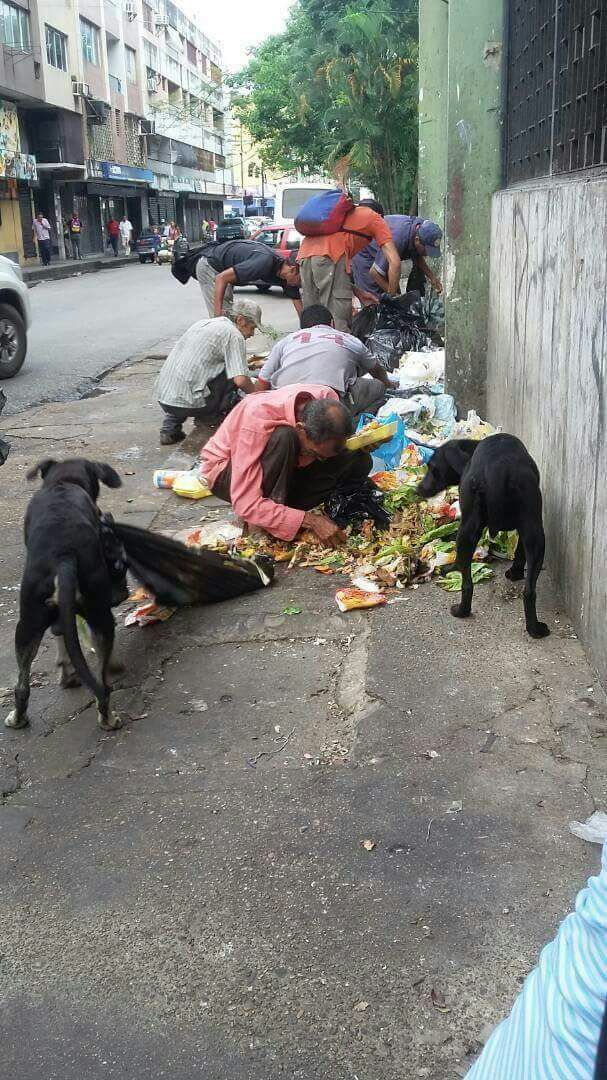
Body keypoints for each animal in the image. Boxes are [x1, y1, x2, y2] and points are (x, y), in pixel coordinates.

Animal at [5, 455, 124, 734]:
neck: (64, 482)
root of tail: (64, 556)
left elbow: (61, 636)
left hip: (27, 623)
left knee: (22, 685)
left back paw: (18, 719)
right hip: (99, 617)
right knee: (102, 681)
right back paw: (107, 716)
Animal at [414, 429, 548, 635]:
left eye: (432, 467)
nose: (418, 489)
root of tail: (499, 471)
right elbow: (519, 551)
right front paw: (516, 572)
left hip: (465, 532)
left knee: (466, 582)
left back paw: (461, 609)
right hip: (535, 533)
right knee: (529, 591)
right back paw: (534, 628)